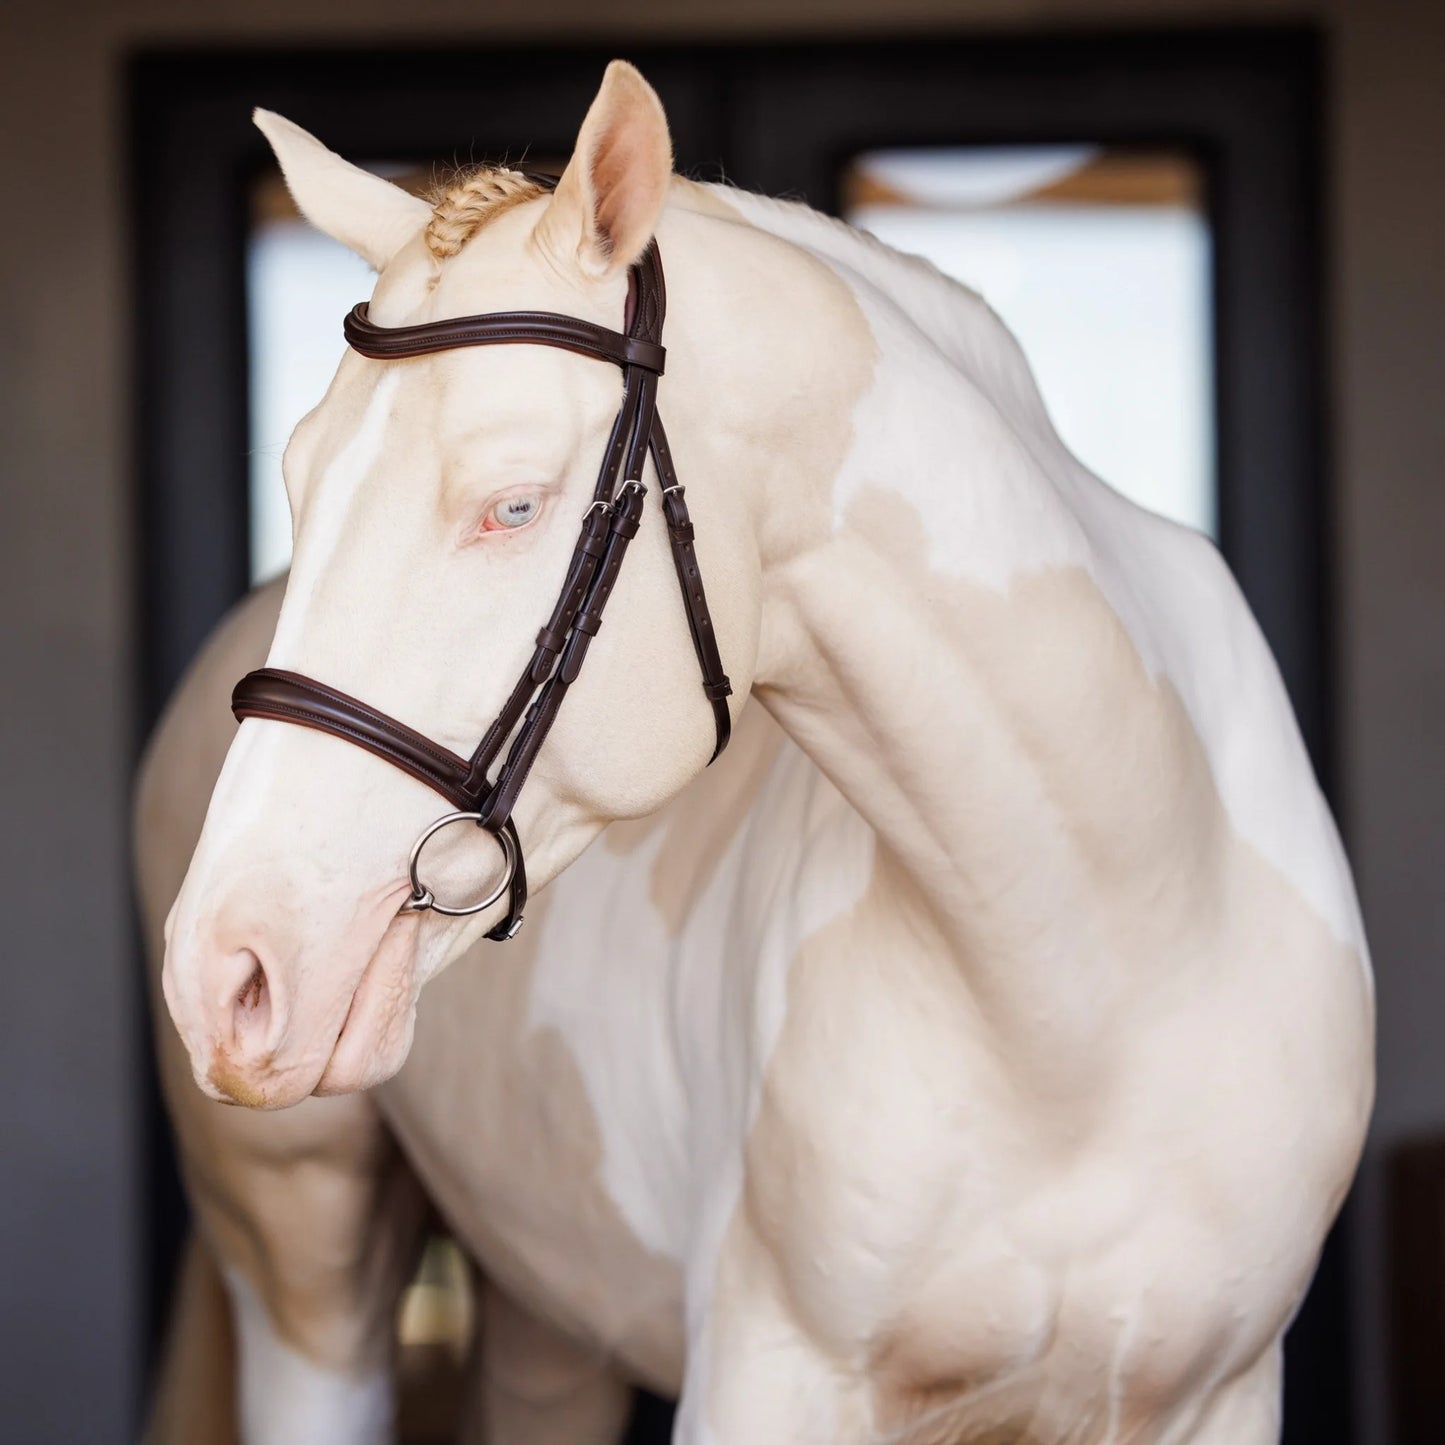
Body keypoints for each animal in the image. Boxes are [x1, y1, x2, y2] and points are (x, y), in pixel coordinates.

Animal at [145, 59, 1373, 1444]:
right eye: (297, 481)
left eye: (512, 503)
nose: (225, 970)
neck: (1096, 972)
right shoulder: (765, 1373)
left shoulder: (1213, 1394)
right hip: (304, 1260)